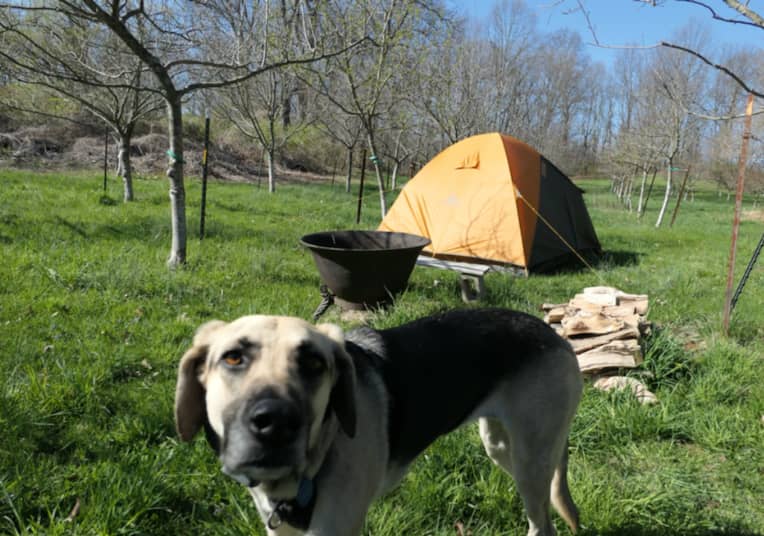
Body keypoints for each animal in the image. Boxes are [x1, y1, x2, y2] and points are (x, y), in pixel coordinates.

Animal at [176, 308, 580, 532]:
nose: (275, 423)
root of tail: (556, 334)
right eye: (233, 359)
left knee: (543, 525)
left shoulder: (335, 528)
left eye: (314, 364)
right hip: (500, 447)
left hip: (530, 461)